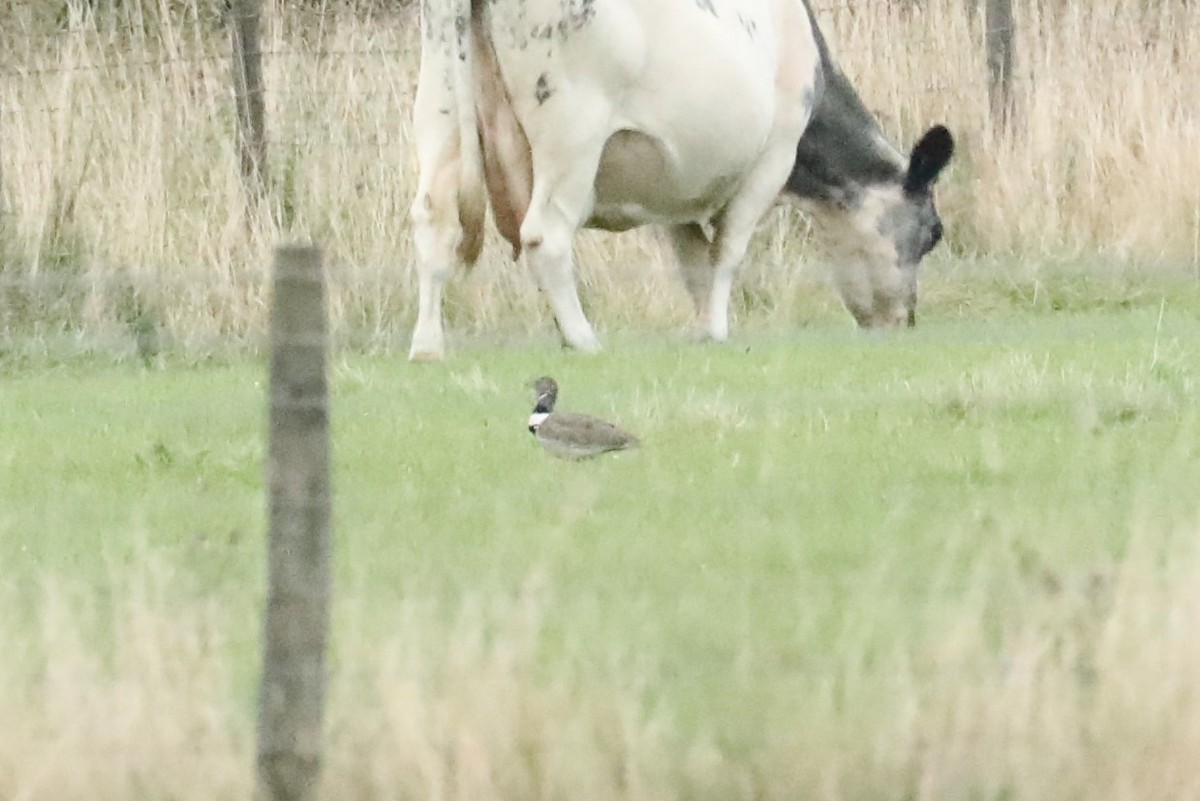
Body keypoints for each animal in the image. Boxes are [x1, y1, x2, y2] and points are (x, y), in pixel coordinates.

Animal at [412, 0, 955, 359]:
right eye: (933, 233)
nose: (904, 321)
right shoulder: (773, 157)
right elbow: (727, 252)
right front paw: (715, 330)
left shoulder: (673, 188)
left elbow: (693, 259)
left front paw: (699, 330)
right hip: (572, 131)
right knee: (546, 235)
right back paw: (582, 339)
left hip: (439, 109)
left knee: (434, 223)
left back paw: (427, 345)